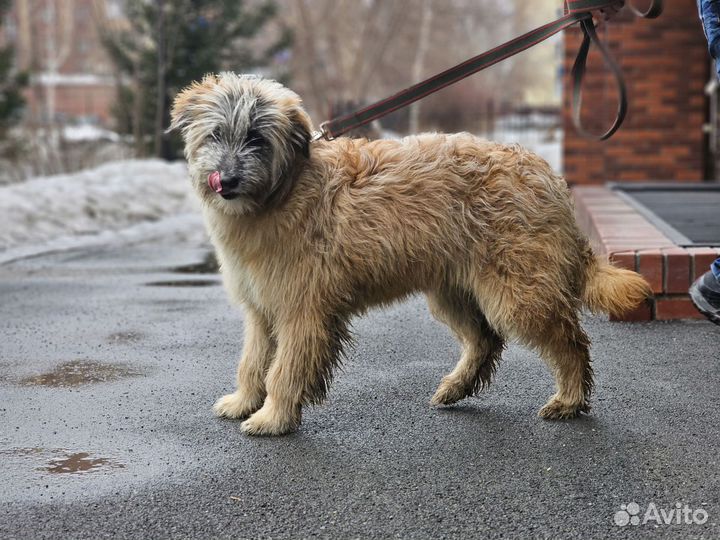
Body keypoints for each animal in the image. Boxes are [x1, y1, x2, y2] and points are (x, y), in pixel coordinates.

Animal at [170, 73, 652, 434]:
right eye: (216, 134)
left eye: (256, 139)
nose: (225, 180)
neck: (284, 189)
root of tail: (548, 178)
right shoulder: (262, 308)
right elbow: (252, 362)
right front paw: (243, 401)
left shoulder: (303, 310)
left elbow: (283, 370)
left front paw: (272, 418)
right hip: (454, 290)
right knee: (485, 340)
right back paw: (456, 388)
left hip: (519, 291)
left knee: (570, 341)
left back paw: (569, 400)